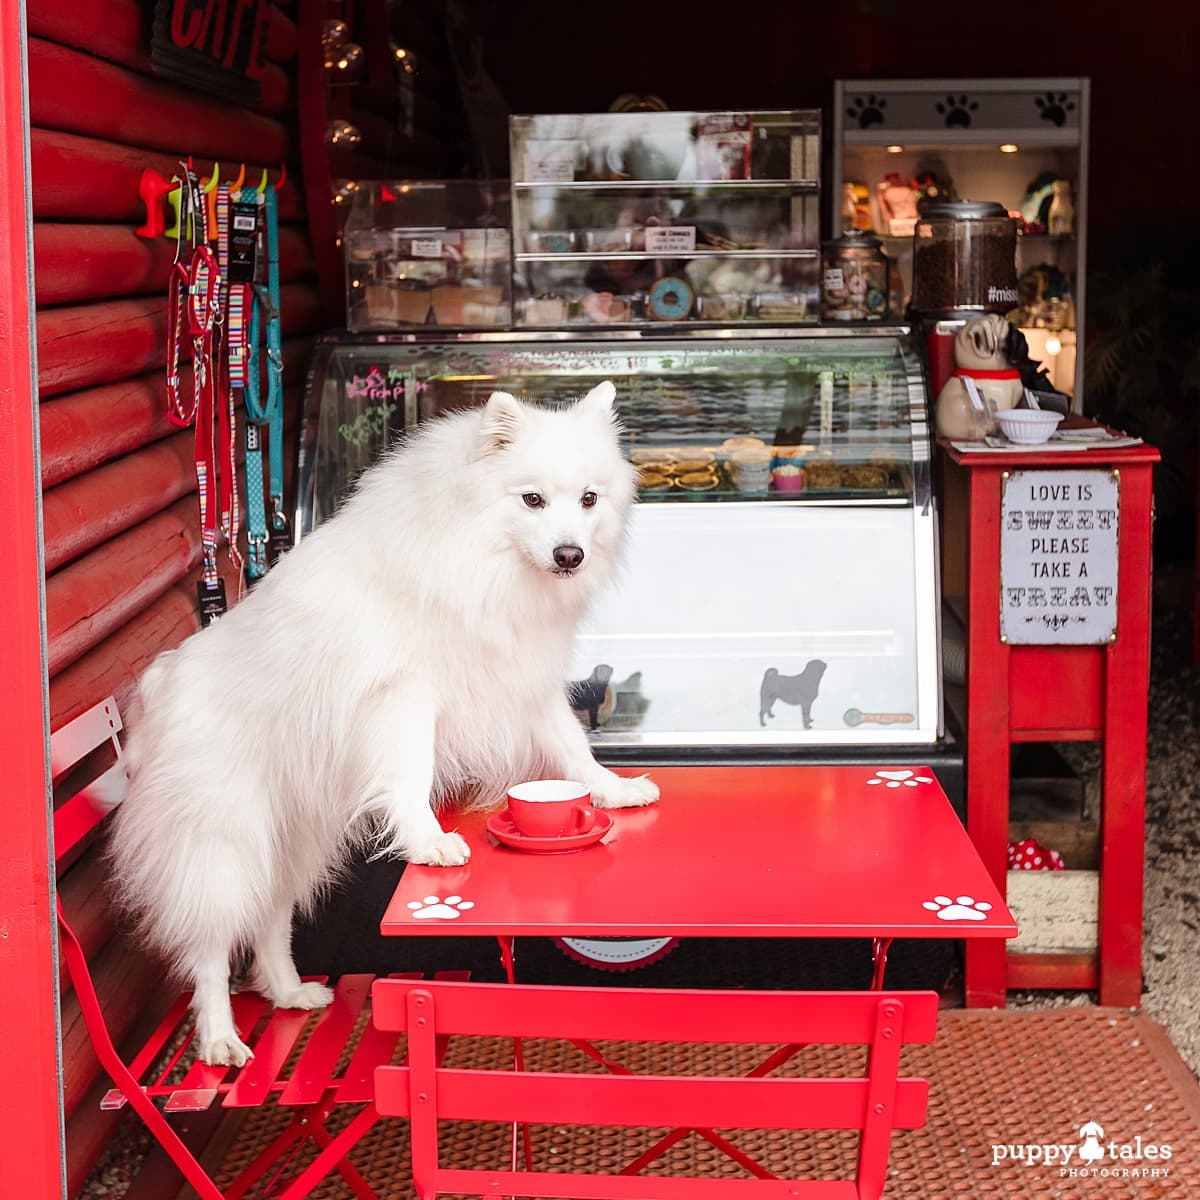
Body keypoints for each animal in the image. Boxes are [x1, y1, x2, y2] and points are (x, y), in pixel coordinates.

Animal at [109, 379, 662, 1065]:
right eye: (531, 500)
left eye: (589, 499)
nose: (570, 555)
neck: (478, 564)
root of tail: (161, 686)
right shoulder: (404, 702)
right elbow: (411, 779)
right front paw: (429, 842)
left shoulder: (524, 683)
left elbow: (574, 751)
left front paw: (617, 790)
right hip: (224, 847)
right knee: (210, 952)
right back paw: (220, 1040)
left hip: (290, 845)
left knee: (270, 923)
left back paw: (290, 994)